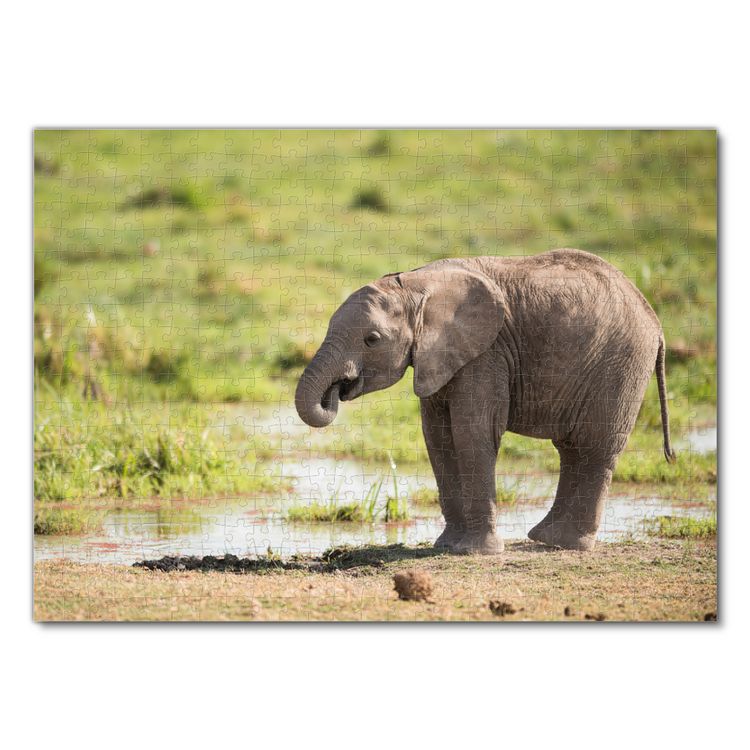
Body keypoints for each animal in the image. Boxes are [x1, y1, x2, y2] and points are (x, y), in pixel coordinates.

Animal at [294, 248, 676, 554]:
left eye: (372, 339)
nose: (337, 390)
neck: (416, 285)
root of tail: (656, 322)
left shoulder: (486, 353)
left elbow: (471, 433)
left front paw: (476, 552)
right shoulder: (443, 355)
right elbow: (439, 438)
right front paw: (447, 546)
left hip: (621, 364)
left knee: (594, 448)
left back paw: (567, 544)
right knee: (574, 451)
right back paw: (547, 540)